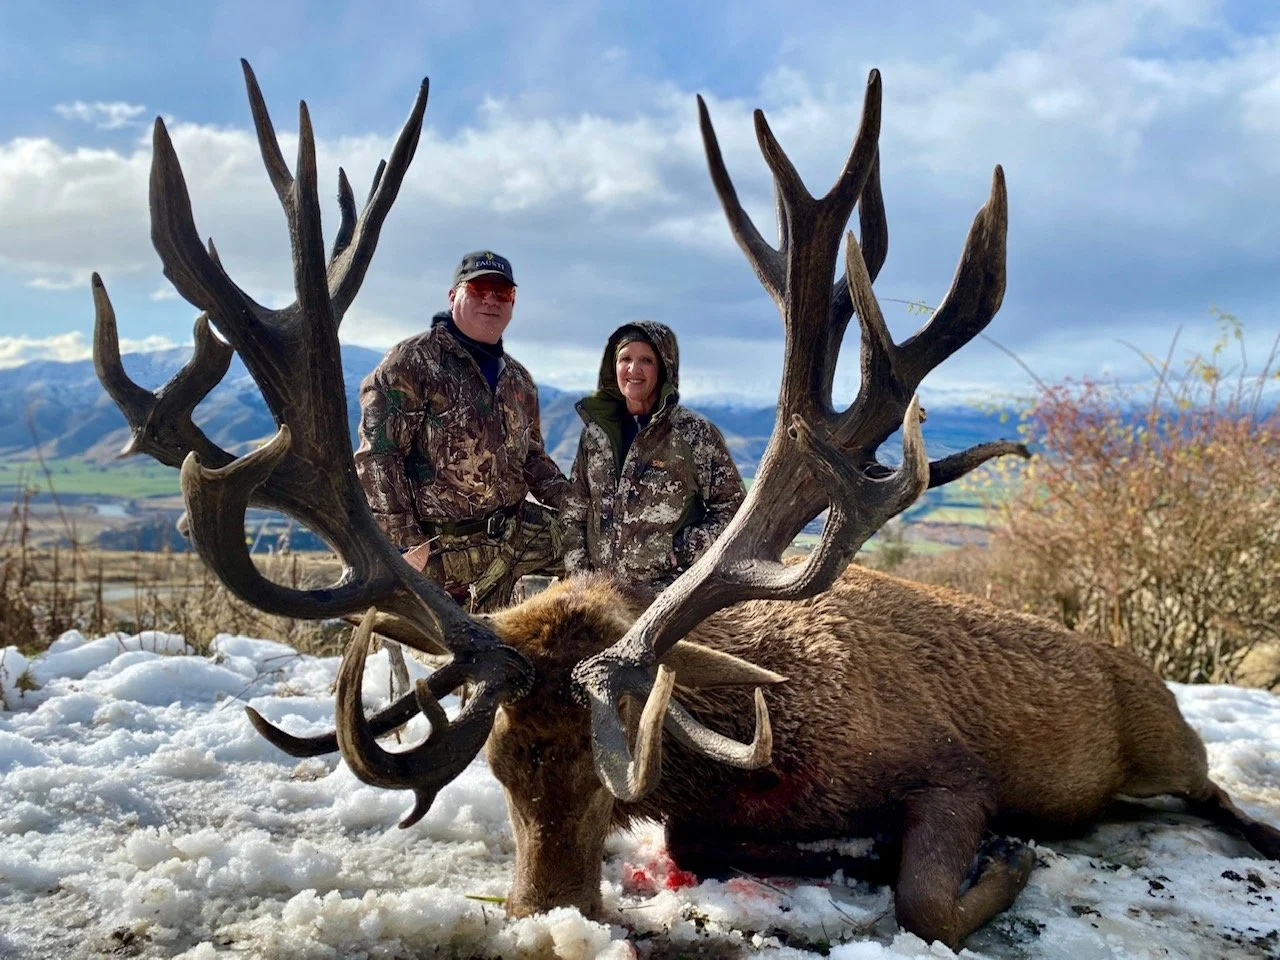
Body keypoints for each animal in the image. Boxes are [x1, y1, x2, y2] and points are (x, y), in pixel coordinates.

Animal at [92, 61, 1280, 951]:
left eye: (603, 779)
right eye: (500, 767)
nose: (540, 915)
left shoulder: (952, 770)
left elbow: (927, 897)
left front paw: (1008, 856)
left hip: (1163, 740)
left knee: (1211, 790)